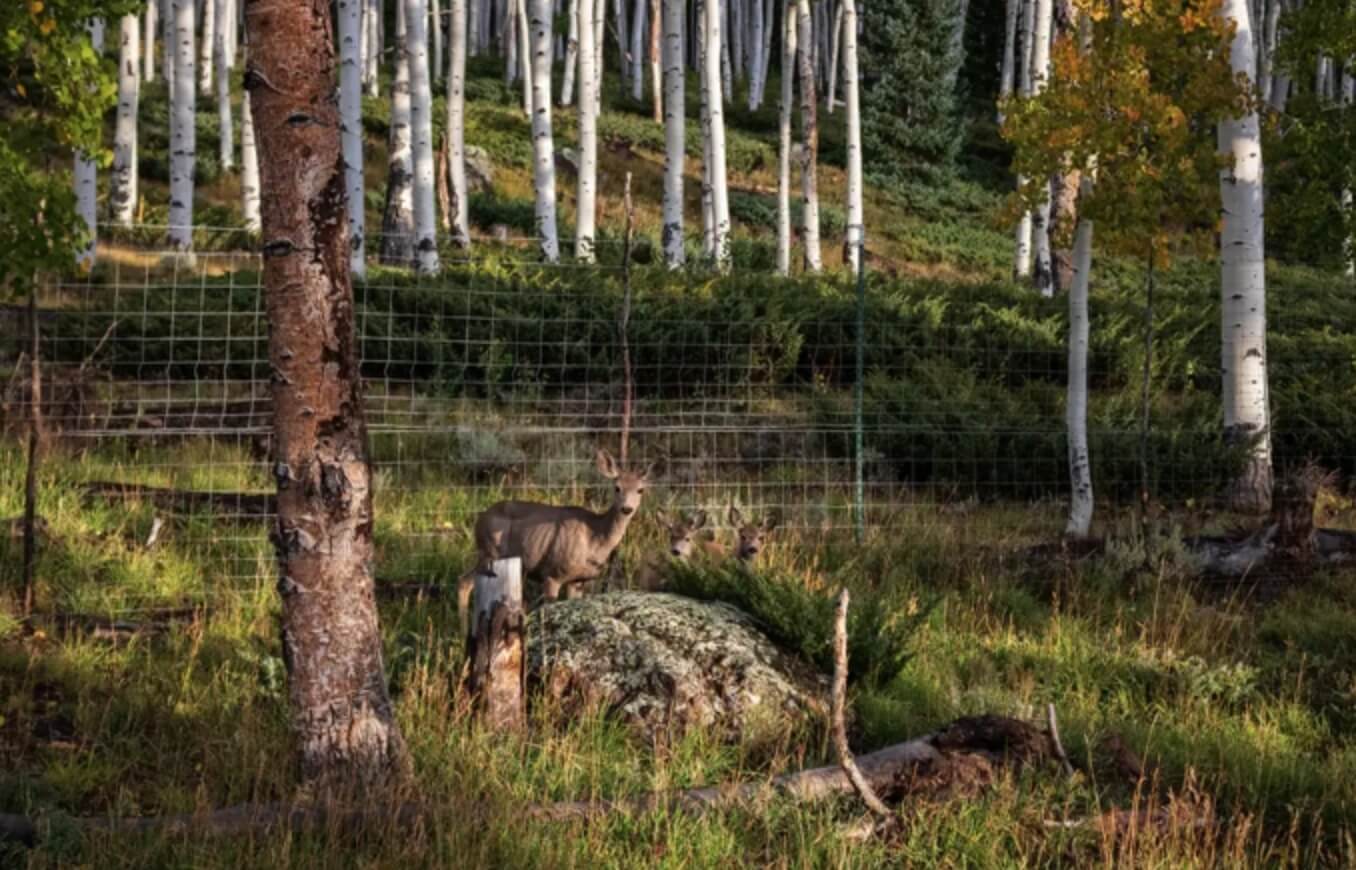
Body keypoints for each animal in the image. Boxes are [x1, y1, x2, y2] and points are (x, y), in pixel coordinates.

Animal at [458, 447, 653, 628]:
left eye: (640, 490)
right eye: (617, 487)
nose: (626, 508)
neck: (594, 537)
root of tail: (479, 519)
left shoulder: (578, 581)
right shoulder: (552, 572)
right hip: (489, 551)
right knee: (464, 582)